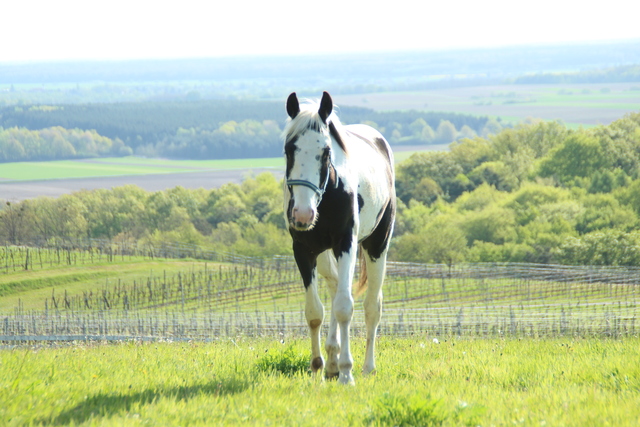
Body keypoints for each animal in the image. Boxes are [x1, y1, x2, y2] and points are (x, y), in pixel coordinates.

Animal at [284, 92, 396, 386]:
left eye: (326, 152)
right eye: (289, 149)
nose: (302, 214)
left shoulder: (346, 244)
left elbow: (346, 307)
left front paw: (347, 372)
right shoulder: (303, 250)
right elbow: (315, 312)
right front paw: (318, 368)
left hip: (377, 245)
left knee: (371, 306)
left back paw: (367, 368)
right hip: (325, 255)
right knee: (334, 287)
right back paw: (332, 361)